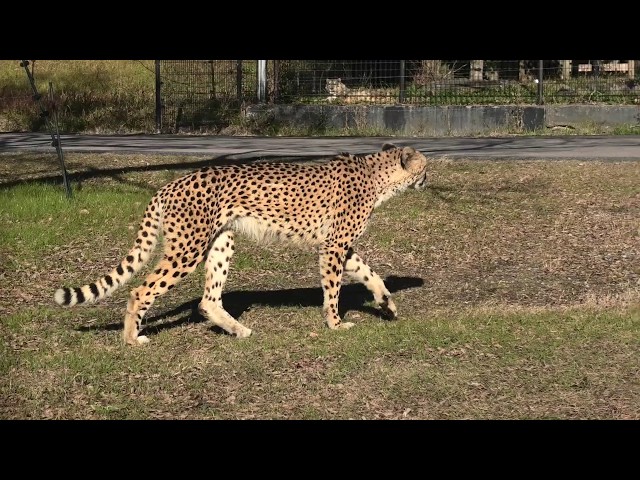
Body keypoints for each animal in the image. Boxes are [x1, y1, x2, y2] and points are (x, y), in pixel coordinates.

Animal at [54, 143, 428, 346]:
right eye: (424, 166)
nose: (429, 178)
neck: (377, 175)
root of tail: (171, 184)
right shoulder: (333, 246)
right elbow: (334, 288)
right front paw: (335, 323)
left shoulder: (339, 246)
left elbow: (369, 273)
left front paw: (386, 304)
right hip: (187, 248)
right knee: (141, 290)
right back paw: (132, 338)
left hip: (221, 241)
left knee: (207, 300)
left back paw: (238, 329)